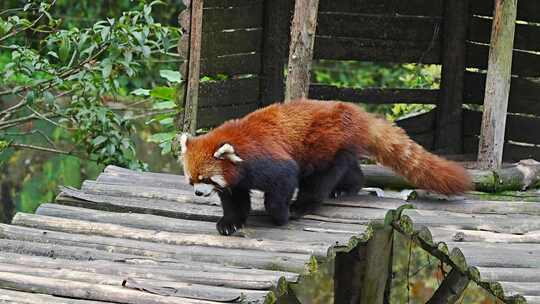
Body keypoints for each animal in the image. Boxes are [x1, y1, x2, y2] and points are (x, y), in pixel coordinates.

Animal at [178, 98, 472, 236]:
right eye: (192, 180)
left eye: (206, 178)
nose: (198, 193)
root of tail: (355, 111)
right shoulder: (237, 179)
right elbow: (235, 199)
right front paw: (230, 222)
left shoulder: (265, 159)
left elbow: (284, 179)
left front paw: (281, 215)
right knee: (350, 167)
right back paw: (350, 187)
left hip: (324, 144)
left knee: (319, 178)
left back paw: (304, 205)